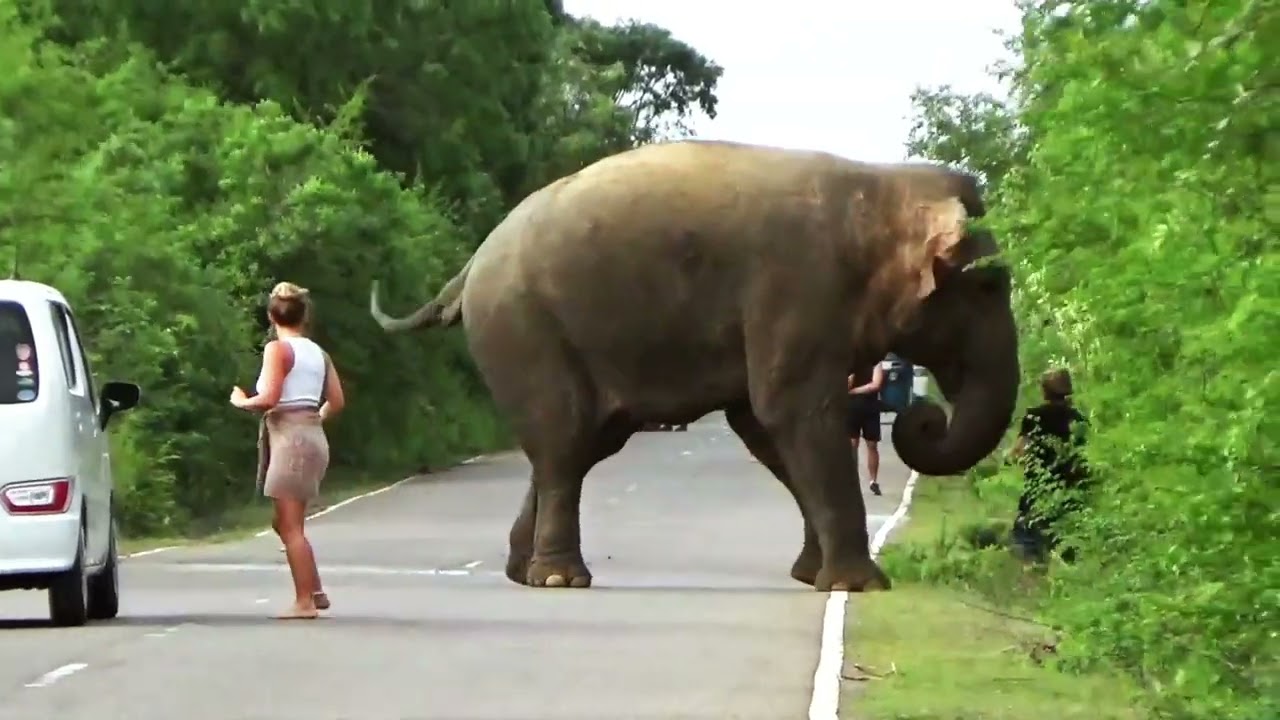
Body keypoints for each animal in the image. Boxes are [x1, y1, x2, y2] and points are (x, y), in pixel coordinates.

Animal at [369, 140, 1019, 592]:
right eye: (989, 286)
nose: (925, 417)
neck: (882, 184)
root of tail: (471, 264)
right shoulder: (799, 291)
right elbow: (793, 414)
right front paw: (861, 586)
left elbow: (765, 428)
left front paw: (811, 576)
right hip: (524, 327)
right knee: (563, 439)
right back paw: (559, 579)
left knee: (579, 445)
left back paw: (521, 570)